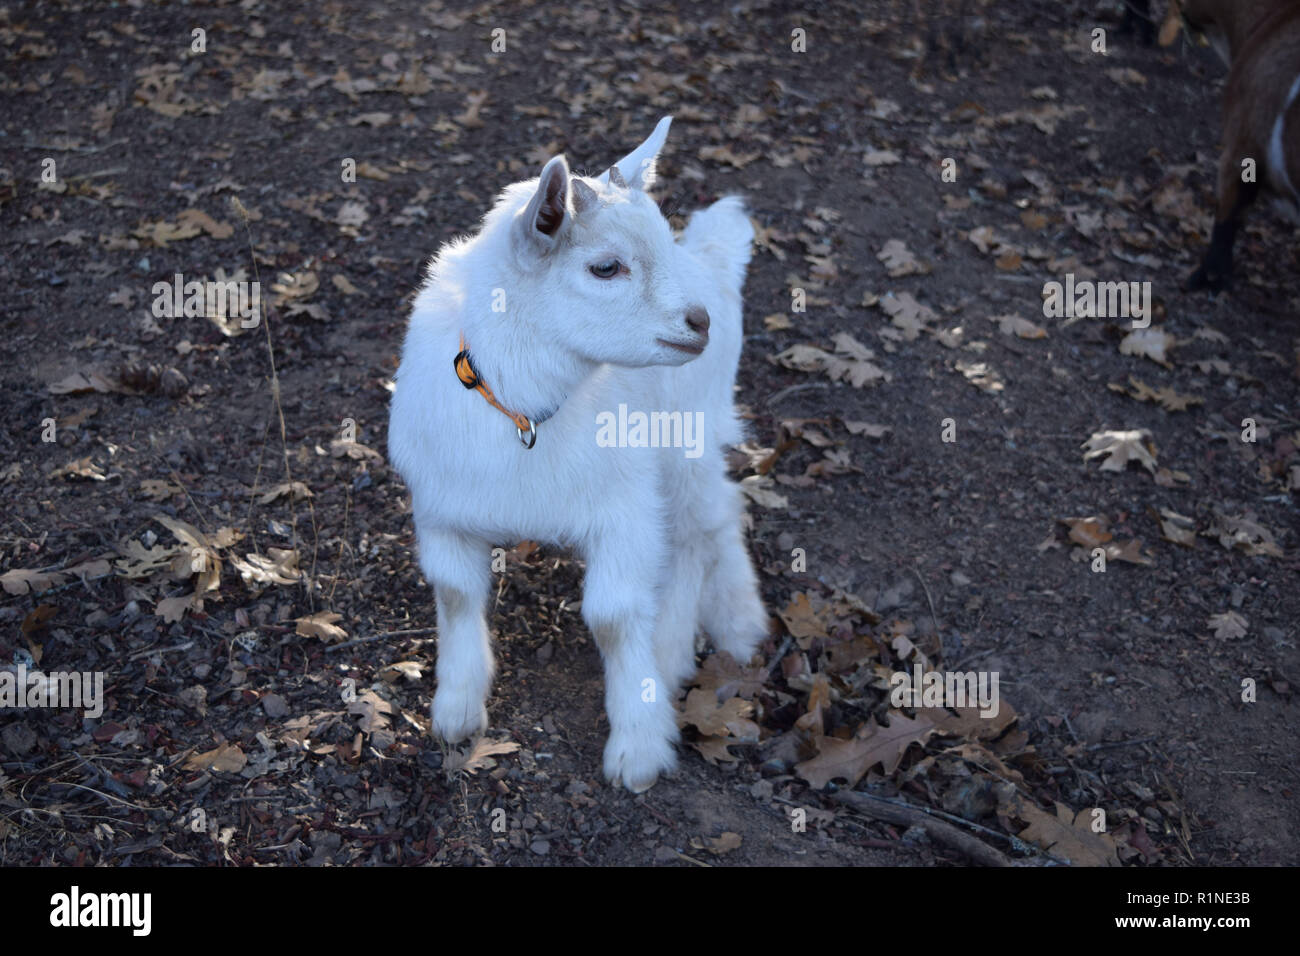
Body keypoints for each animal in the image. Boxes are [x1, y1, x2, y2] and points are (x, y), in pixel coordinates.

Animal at [387, 117, 769, 790]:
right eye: (606, 267)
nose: (698, 322)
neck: (524, 415)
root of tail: (709, 259)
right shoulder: (441, 510)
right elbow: (456, 593)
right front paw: (456, 712)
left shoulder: (624, 511)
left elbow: (614, 617)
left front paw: (638, 749)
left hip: (688, 434)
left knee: (706, 525)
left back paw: (707, 639)